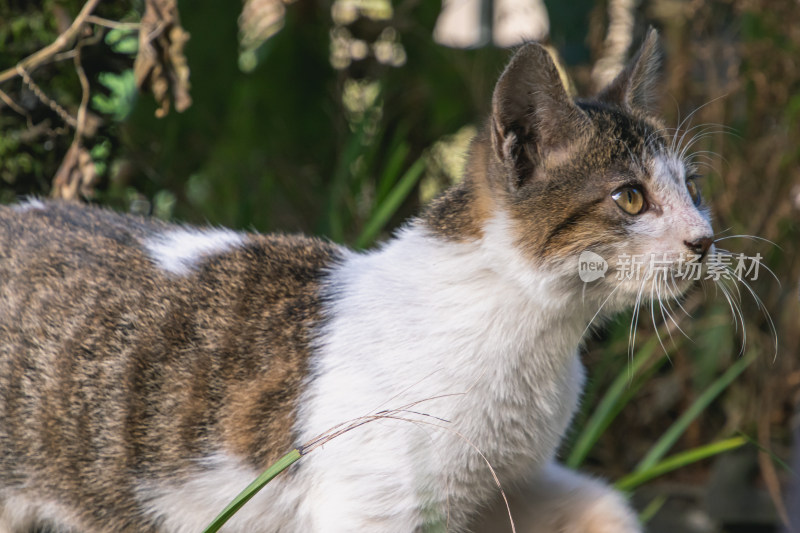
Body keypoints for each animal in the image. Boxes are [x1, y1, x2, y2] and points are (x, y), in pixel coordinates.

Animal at [0, 30, 712, 532]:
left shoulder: (507, 487)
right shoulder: (379, 506)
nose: (706, 240)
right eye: (629, 198)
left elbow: (607, 506)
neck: (532, 341)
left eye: (693, 188)